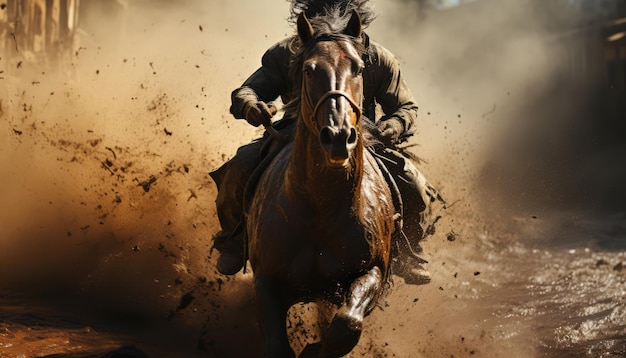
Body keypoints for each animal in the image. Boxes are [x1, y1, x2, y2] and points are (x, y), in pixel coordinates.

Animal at [245, 9, 394, 358]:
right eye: (309, 70)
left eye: (359, 68)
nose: (338, 136)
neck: (321, 210)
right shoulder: (266, 281)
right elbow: (278, 347)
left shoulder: (372, 271)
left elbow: (346, 326)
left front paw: (314, 349)